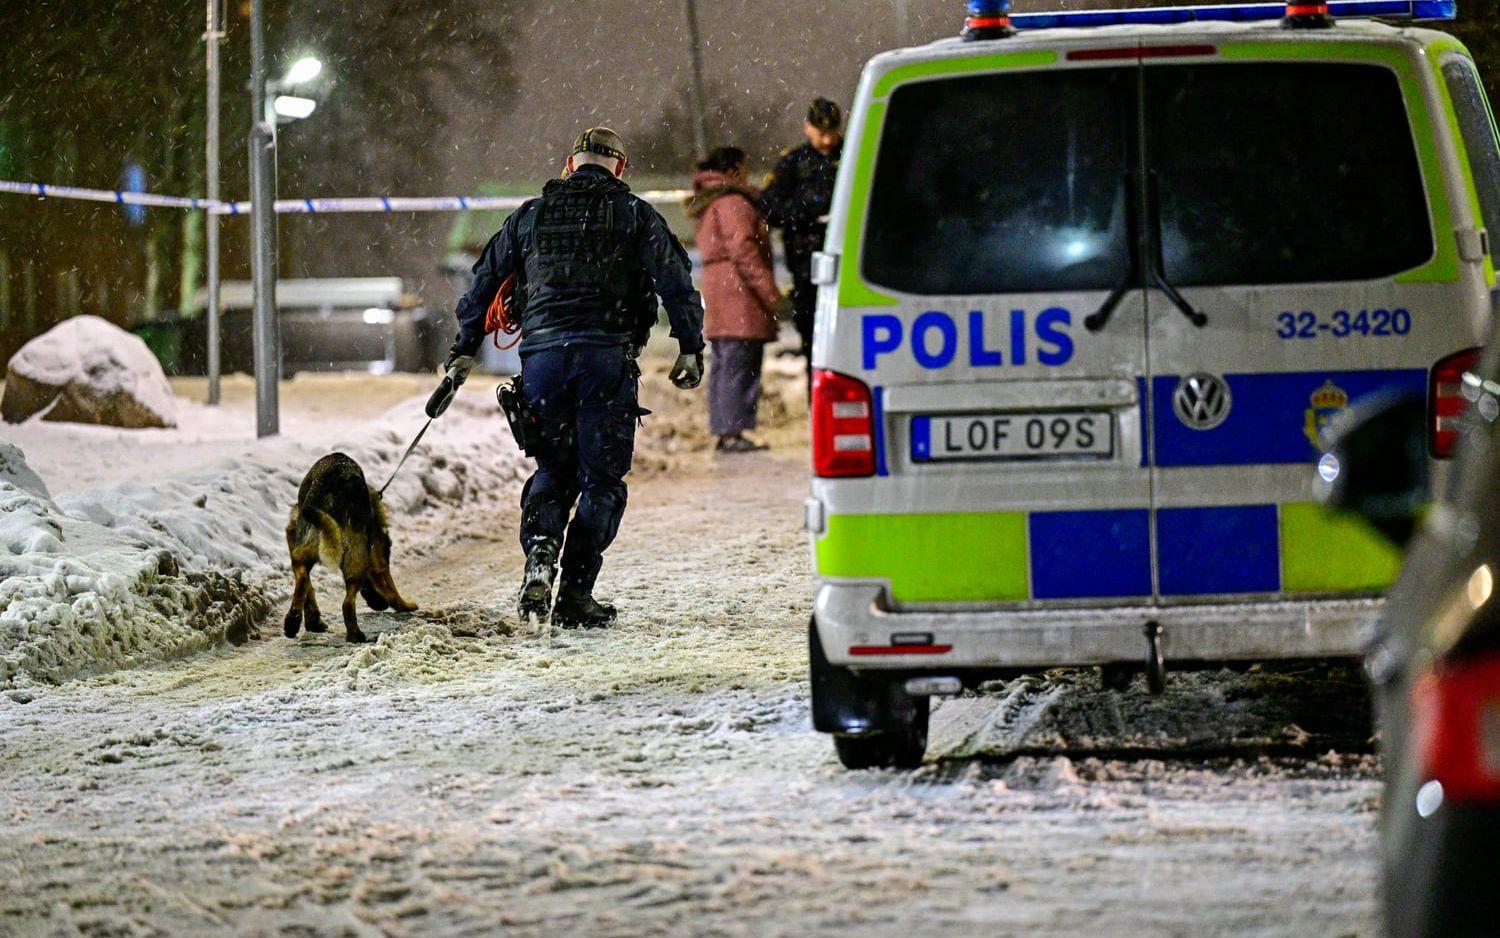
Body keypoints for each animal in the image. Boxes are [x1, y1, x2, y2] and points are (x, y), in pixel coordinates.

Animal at [282, 453, 414, 642]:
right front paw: (404, 605)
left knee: (302, 580)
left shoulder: (291, 535)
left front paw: (313, 621)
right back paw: (355, 634)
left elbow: (308, 586)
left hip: (305, 550)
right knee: (347, 603)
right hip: (357, 555)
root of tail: (331, 487)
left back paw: (293, 621)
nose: (381, 605)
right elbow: (388, 583)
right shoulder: (378, 551)